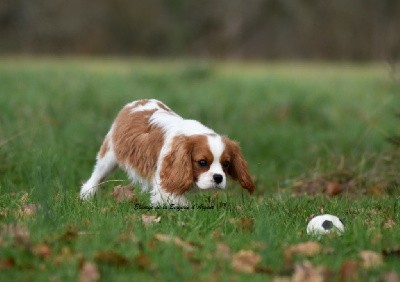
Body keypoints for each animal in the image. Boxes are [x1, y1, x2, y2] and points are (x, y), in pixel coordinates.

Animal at [80, 100, 255, 206]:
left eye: (226, 164)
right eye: (202, 162)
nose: (218, 178)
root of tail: (135, 103)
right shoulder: (165, 181)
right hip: (109, 156)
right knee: (96, 176)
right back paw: (87, 195)